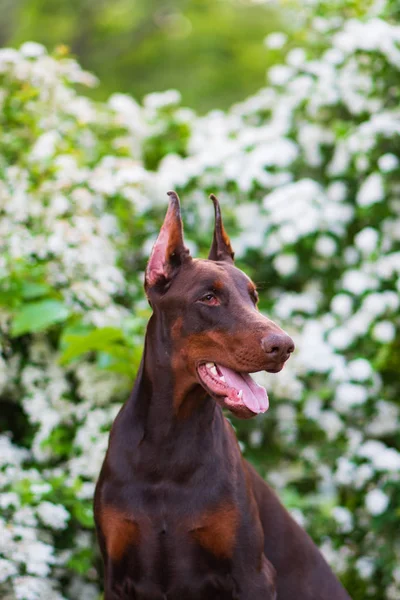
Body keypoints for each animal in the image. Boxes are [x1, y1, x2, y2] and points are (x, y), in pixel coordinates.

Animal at [94, 192, 350, 600]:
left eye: (254, 298)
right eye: (209, 297)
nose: (285, 346)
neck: (168, 444)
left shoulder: (252, 574)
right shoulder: (116, 576)